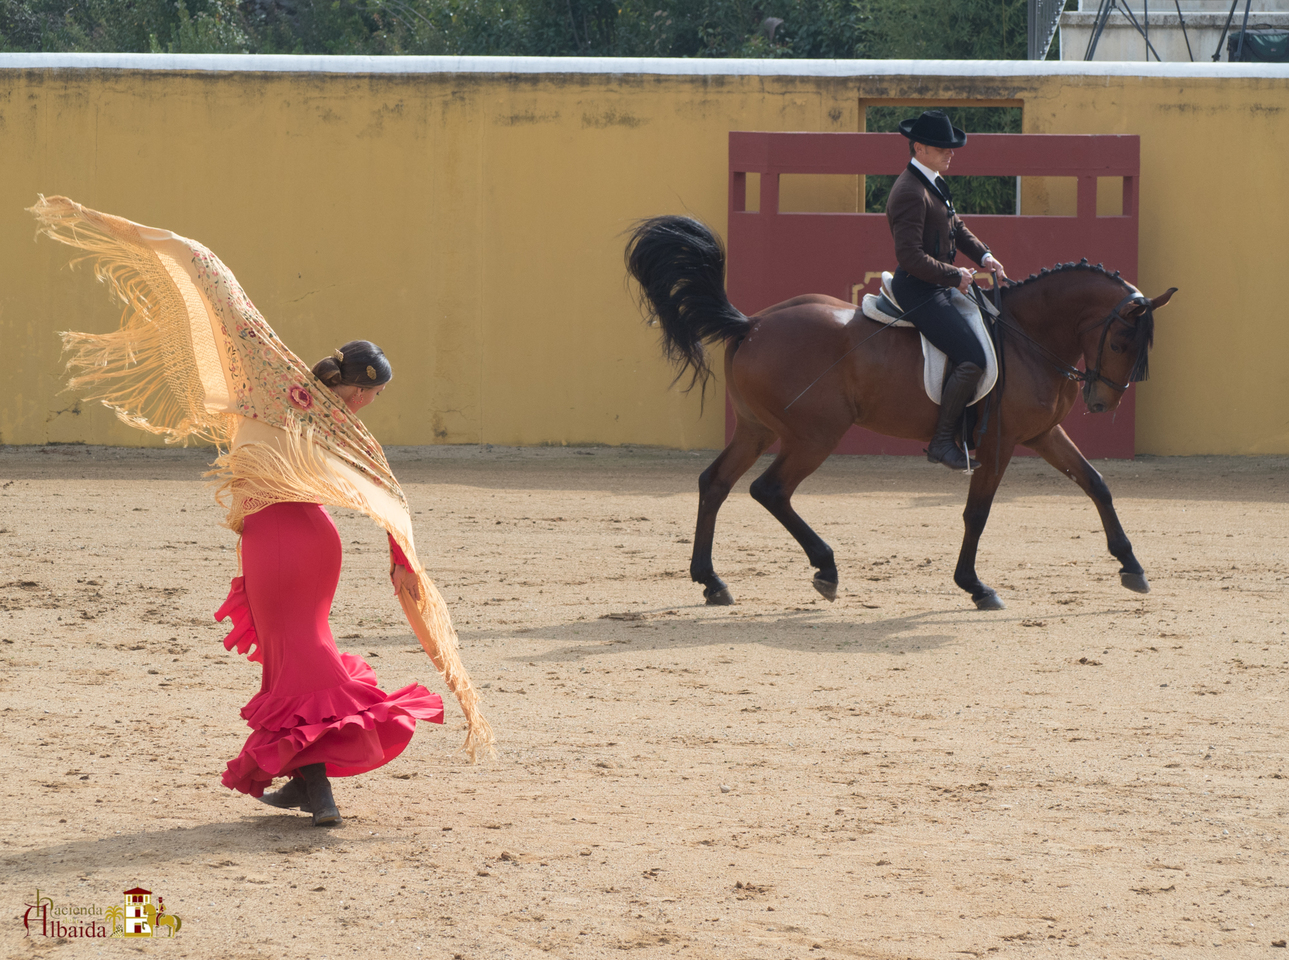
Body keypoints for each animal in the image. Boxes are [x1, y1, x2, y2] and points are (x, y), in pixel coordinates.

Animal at [623, 216, 1180, 605]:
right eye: (1123, 339)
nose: (1102, 401)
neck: (1028, 335)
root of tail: (753, 324)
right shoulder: (1000, 442)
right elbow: (977, 512)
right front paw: (975, 586)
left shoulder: (1043, 434)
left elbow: (1095, 483)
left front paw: (1132, 566)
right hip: (816, 435)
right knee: (770, 489)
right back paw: (825, 568)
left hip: (757, 429)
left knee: (715, 483)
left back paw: (712, 581)